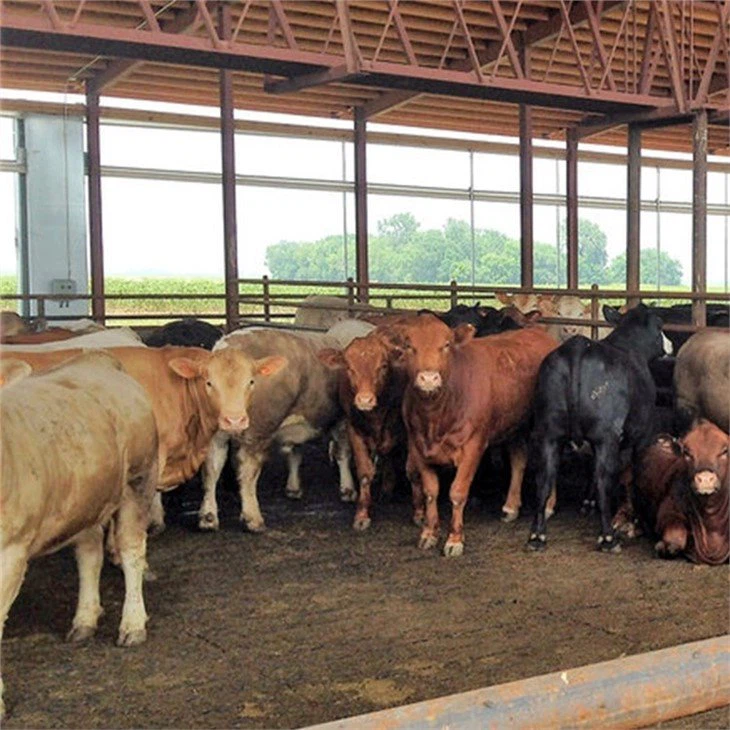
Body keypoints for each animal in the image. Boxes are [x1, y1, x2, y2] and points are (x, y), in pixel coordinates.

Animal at [0, 352, 160, 718]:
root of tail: (97, 360)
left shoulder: (11, 552)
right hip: (86, 499)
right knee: (89, 553)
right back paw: (85, 618)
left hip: (137, 481)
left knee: (131, 551)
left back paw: (132, 623)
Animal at [384, 313, 559, 556]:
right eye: (410, 346)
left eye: (446, 345)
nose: (428, 378)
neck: (436, 415)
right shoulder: (419, 447)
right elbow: (430, 492)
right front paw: (429, 533)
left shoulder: (473, 446)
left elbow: (457, 492)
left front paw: (455, 539)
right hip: (513, 425)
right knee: (518, 460)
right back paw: (510, 506)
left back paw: (549, 505)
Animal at [527, 304, 668, 553]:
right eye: (660, 325)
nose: (669, 344)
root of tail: (577, 348)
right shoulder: (641, 434)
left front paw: (587, 502)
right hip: (605, 437)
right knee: (604, 480)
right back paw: (608, 537)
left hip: (549, 433)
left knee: (544, 479)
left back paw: (537, 536)